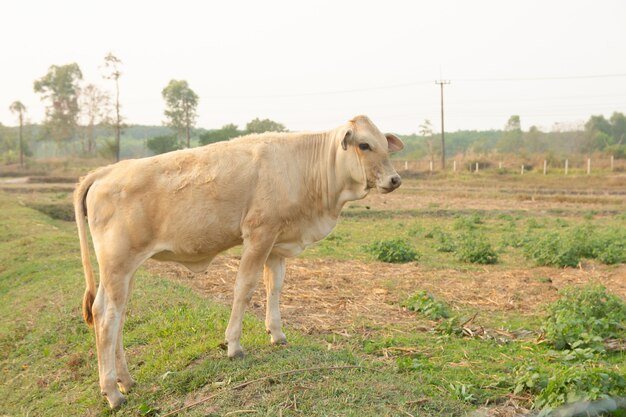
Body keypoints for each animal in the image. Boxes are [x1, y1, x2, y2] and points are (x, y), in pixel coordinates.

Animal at [74, 114, 404, 406]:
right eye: (364, 145)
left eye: (385, 146)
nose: (395, 179)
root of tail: (104, 172)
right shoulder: (259, 235)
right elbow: (244, 288)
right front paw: (234, 346)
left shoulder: (276, 244)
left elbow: (274, 288)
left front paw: (277, 334)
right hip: (118, 265)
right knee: (106, 317)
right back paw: (112, 393)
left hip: (122, 272)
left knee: (116, 315)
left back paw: (126, 381)